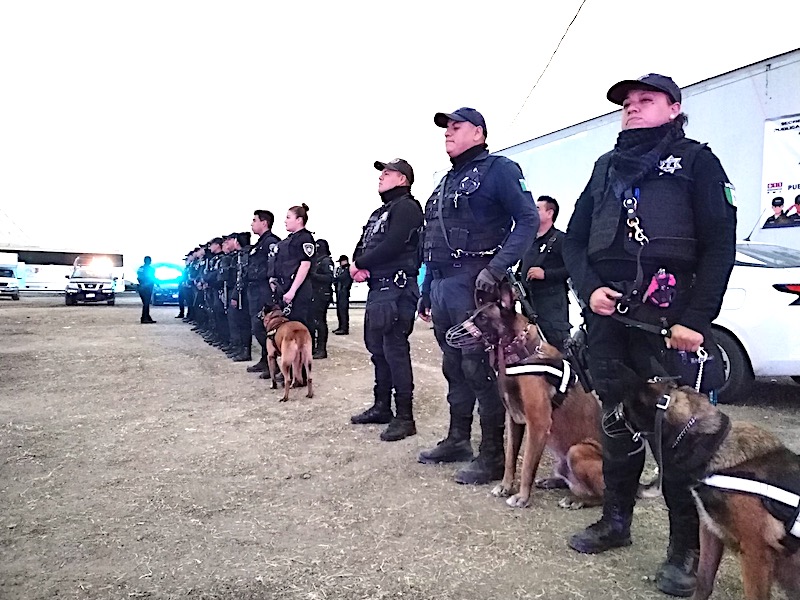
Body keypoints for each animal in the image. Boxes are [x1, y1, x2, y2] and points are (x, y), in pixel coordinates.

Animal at [620, 370, 800, 600]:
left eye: (624, 405)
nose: (610, 415)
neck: (715, 446)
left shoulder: (755, 551)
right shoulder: (710, 531)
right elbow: (704, 581)